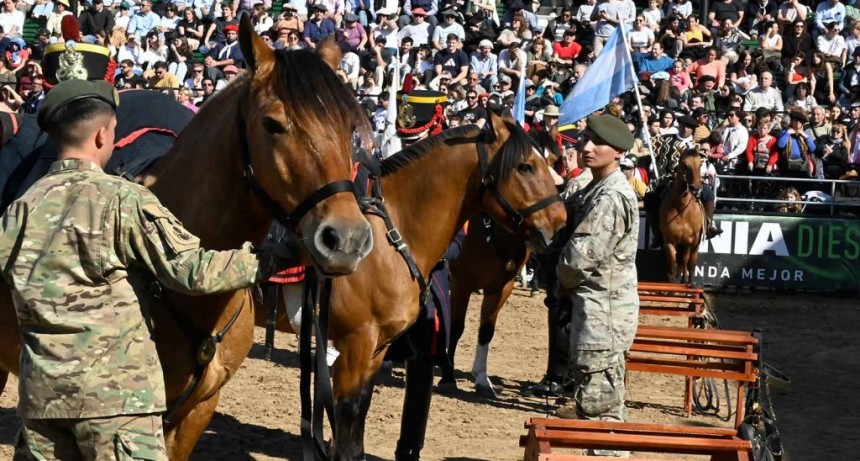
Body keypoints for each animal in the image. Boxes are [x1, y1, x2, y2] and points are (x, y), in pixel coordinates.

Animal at [255, 114, 564, 456]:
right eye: (526, 166)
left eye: (554, 162)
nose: (560, 222)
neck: (388, 237)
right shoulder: (355, 345)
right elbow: (347, 421)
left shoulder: (375, 349)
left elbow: (358, 422)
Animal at [660, 149, 704, 282]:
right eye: (684, 164)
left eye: (700, 164)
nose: (696, 187)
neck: (681, 208)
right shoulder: (669, 239)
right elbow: (672, 259)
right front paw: (671, 278)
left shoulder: (689, 240)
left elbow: (685, 259)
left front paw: (684, 279)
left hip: (695, 243)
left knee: (690, 261)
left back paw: (689, 280)